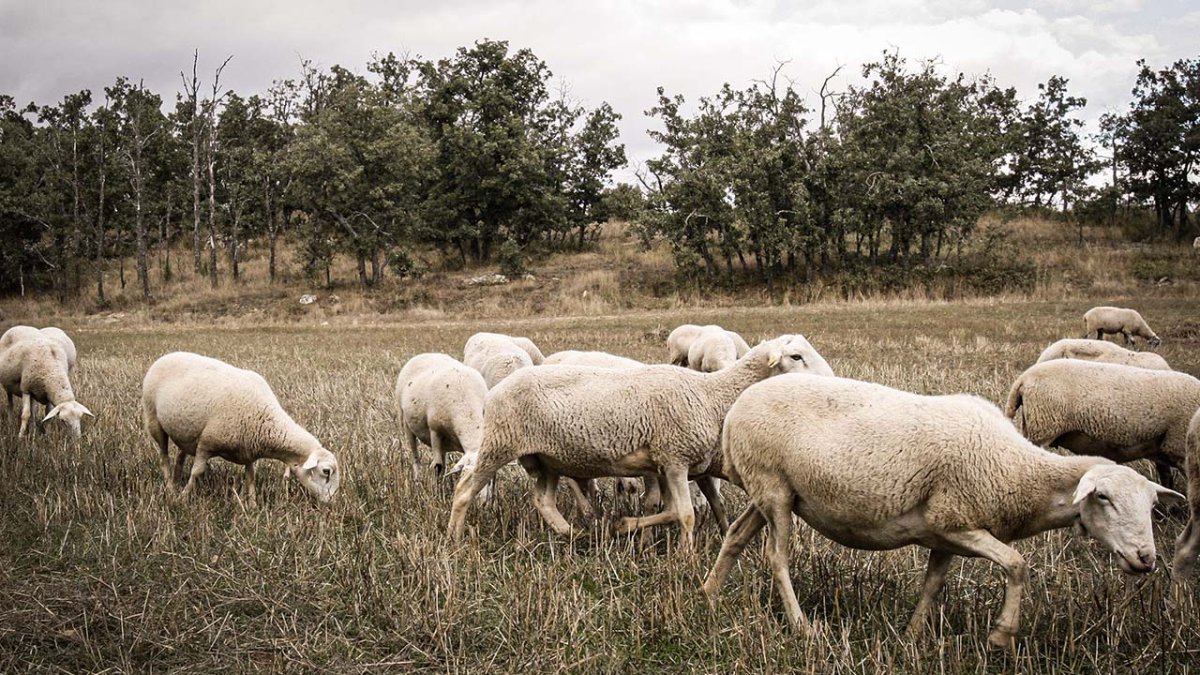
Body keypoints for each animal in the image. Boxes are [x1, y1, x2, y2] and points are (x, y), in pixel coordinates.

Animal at [141, 352, 340, 502]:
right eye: (326, 472)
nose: (331, 503)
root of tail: (167, 355)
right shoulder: (207, 443)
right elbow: (197, 472)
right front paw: (183, 497)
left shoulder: (248, 450)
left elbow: (250, 476)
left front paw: (252, 505)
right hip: (153, 419)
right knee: (164, 457)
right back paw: (170, 488)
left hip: (186, 434)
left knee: (180, 457)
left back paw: (176, 481)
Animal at [447, 335, 834, 549]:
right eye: (796, 357)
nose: (832, 379)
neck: (713, 395)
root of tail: (493, 393)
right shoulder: (675, 458)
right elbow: (685, 514)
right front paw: (686, 559)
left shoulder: (664, 465)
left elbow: (665, 509)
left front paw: (628, 530)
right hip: (500, 443)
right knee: (465, 491)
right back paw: (455, 538)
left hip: (546, 459)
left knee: (543, 500)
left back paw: (573, 535)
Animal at [704, 374, 1184, 647]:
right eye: (1104, 498)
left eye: (1152, 505)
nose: (1146, 559)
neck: (1019, 470)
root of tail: (738, 407)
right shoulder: (954, 521)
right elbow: (1017, 563)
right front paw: (1001, 636)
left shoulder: (944, 537)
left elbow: (933, 585)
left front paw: (912, 636)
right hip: (774, 487)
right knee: (776, 557)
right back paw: (802, 626)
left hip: (768, 491)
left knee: (736, 535)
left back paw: (709, 593)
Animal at [1005, 359, 1200, 492]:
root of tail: (1023, 379)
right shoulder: (1180, 448)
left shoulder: (1163, 448)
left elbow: (1166, 478)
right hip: (1044, 427)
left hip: (1033, 426)